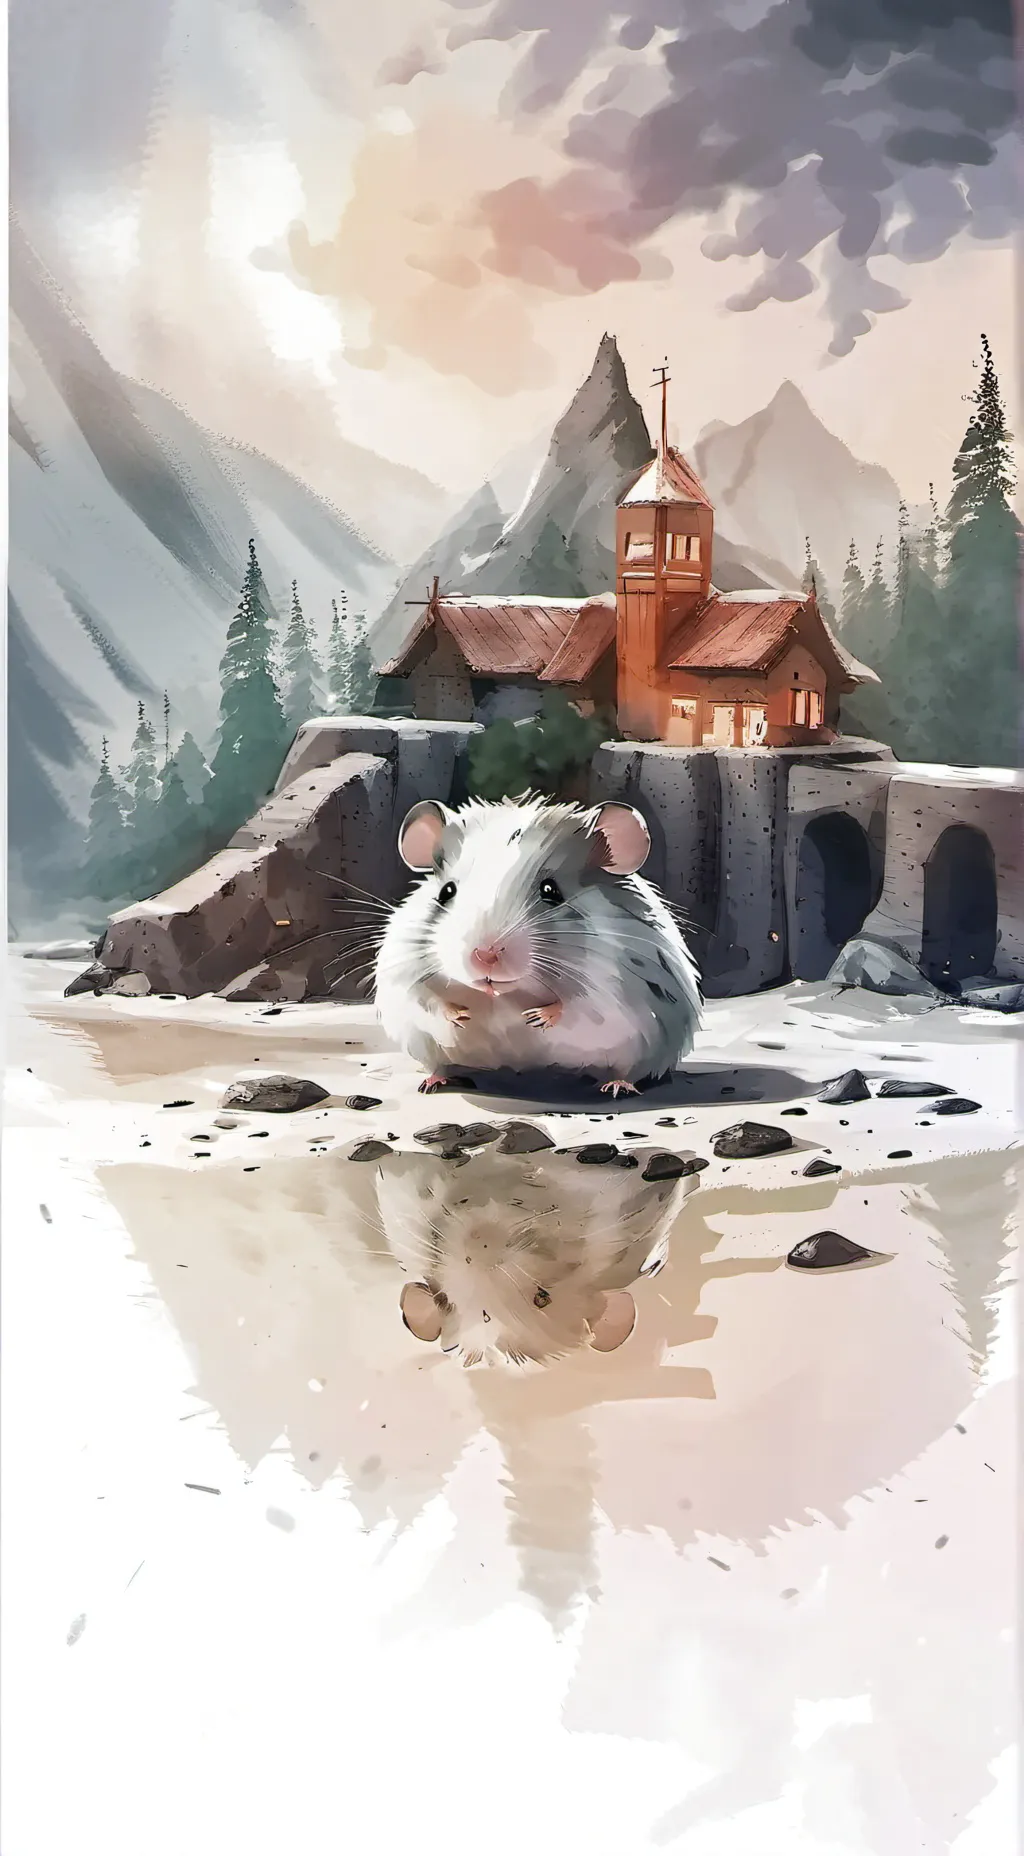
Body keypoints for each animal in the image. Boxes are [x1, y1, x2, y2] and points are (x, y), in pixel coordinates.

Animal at [374, 794, 702, 1095]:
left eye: (551, 891)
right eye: (446, 892)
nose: (485, 955)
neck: (503, 995)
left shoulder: (611, 982)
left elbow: (577, 1005)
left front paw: (535, 1018)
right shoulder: (403, 972)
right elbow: (428, 1001)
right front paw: (462, 1016)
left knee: (628, 1071)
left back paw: (616, 1087)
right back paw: (433, 1081)